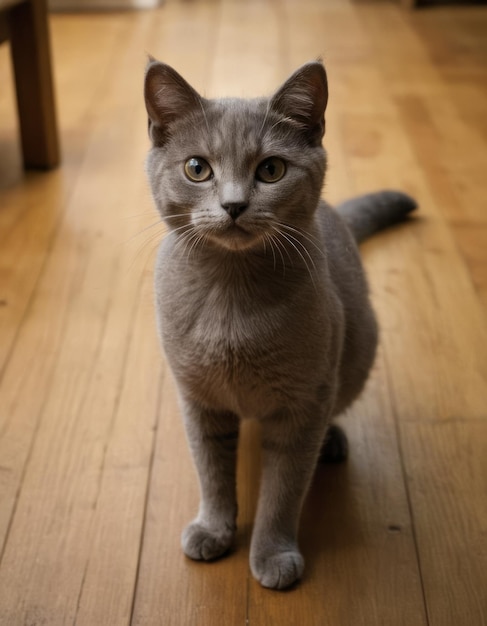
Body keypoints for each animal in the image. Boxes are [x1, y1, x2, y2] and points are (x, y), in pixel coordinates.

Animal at [143, 57, 418, 584]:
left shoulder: (302, 406)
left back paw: (333, 441)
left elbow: (283, 491)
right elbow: (212, 473)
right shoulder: (198, 399)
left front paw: (272, 554)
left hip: (357, 348)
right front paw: (213, 530)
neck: (231, 297)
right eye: (196, 168)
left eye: (271, 170)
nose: (233, 205)